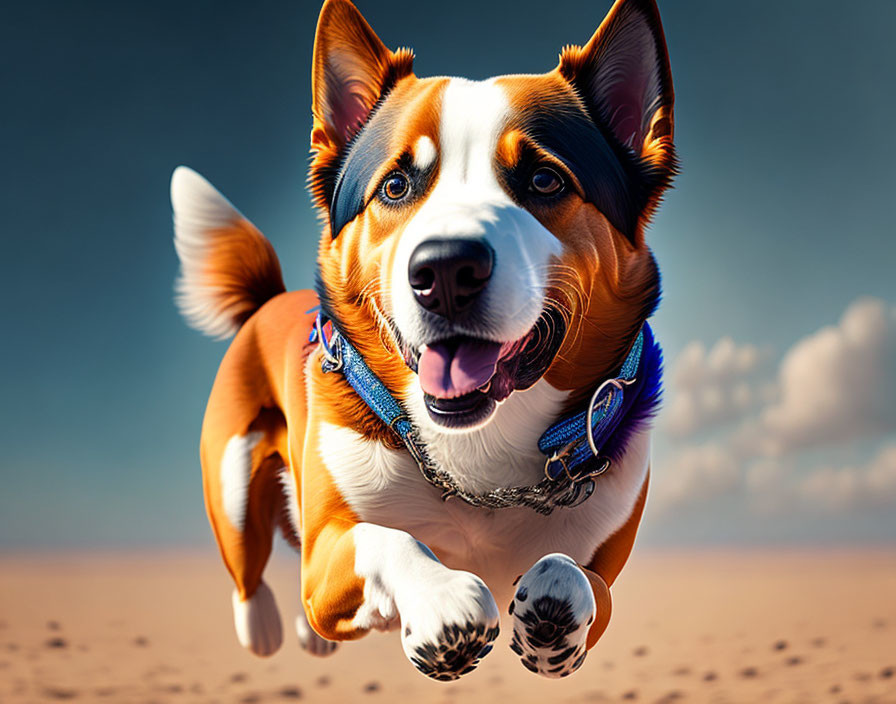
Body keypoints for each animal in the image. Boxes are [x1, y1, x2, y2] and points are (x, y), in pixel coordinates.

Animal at [170, 0, 672, 680]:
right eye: (396, 186)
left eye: (545, 181)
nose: (446, 270)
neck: (476, 462)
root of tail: (268, 300)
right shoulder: (329, 558)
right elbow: (386, 539)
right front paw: (443, 605)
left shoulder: (604, 564)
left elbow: (580, 578)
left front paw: (552, 607)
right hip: (231, 484)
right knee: (250, 574)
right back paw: (268, 628)